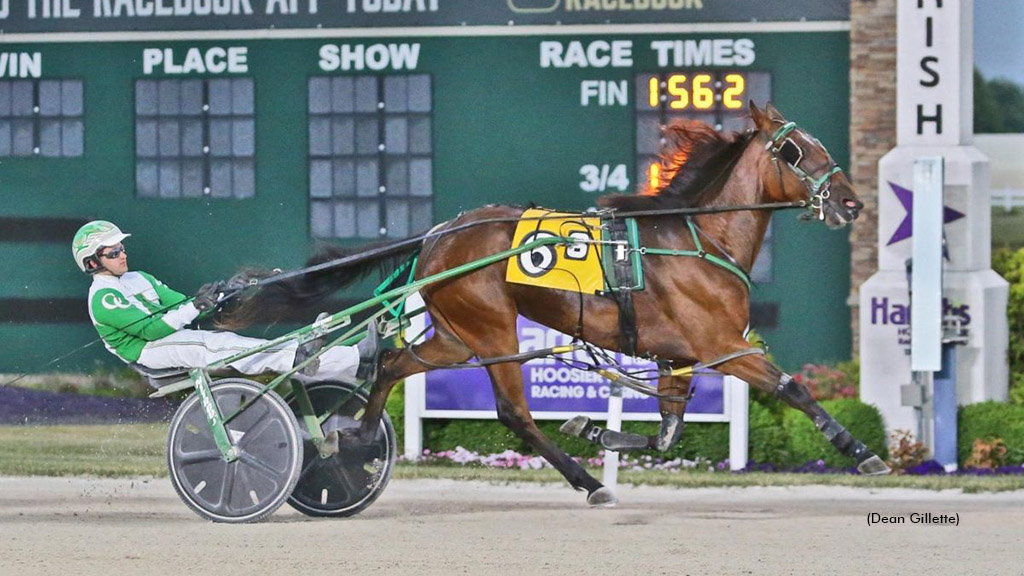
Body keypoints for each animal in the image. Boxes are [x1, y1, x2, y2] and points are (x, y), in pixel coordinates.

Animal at [222, 101, 888, 502]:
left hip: (455, 334)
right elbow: (794, 389)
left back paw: (353, 440)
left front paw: (595, 427)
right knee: (513, 413)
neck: (697, 239)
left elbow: (669, 433)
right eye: (795, 151)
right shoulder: (721, 345)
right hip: (493, 329)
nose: (851, 203)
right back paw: (587, 481)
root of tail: (437, 234)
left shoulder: (679, 356)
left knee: (390, 363)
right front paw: (861, 452)